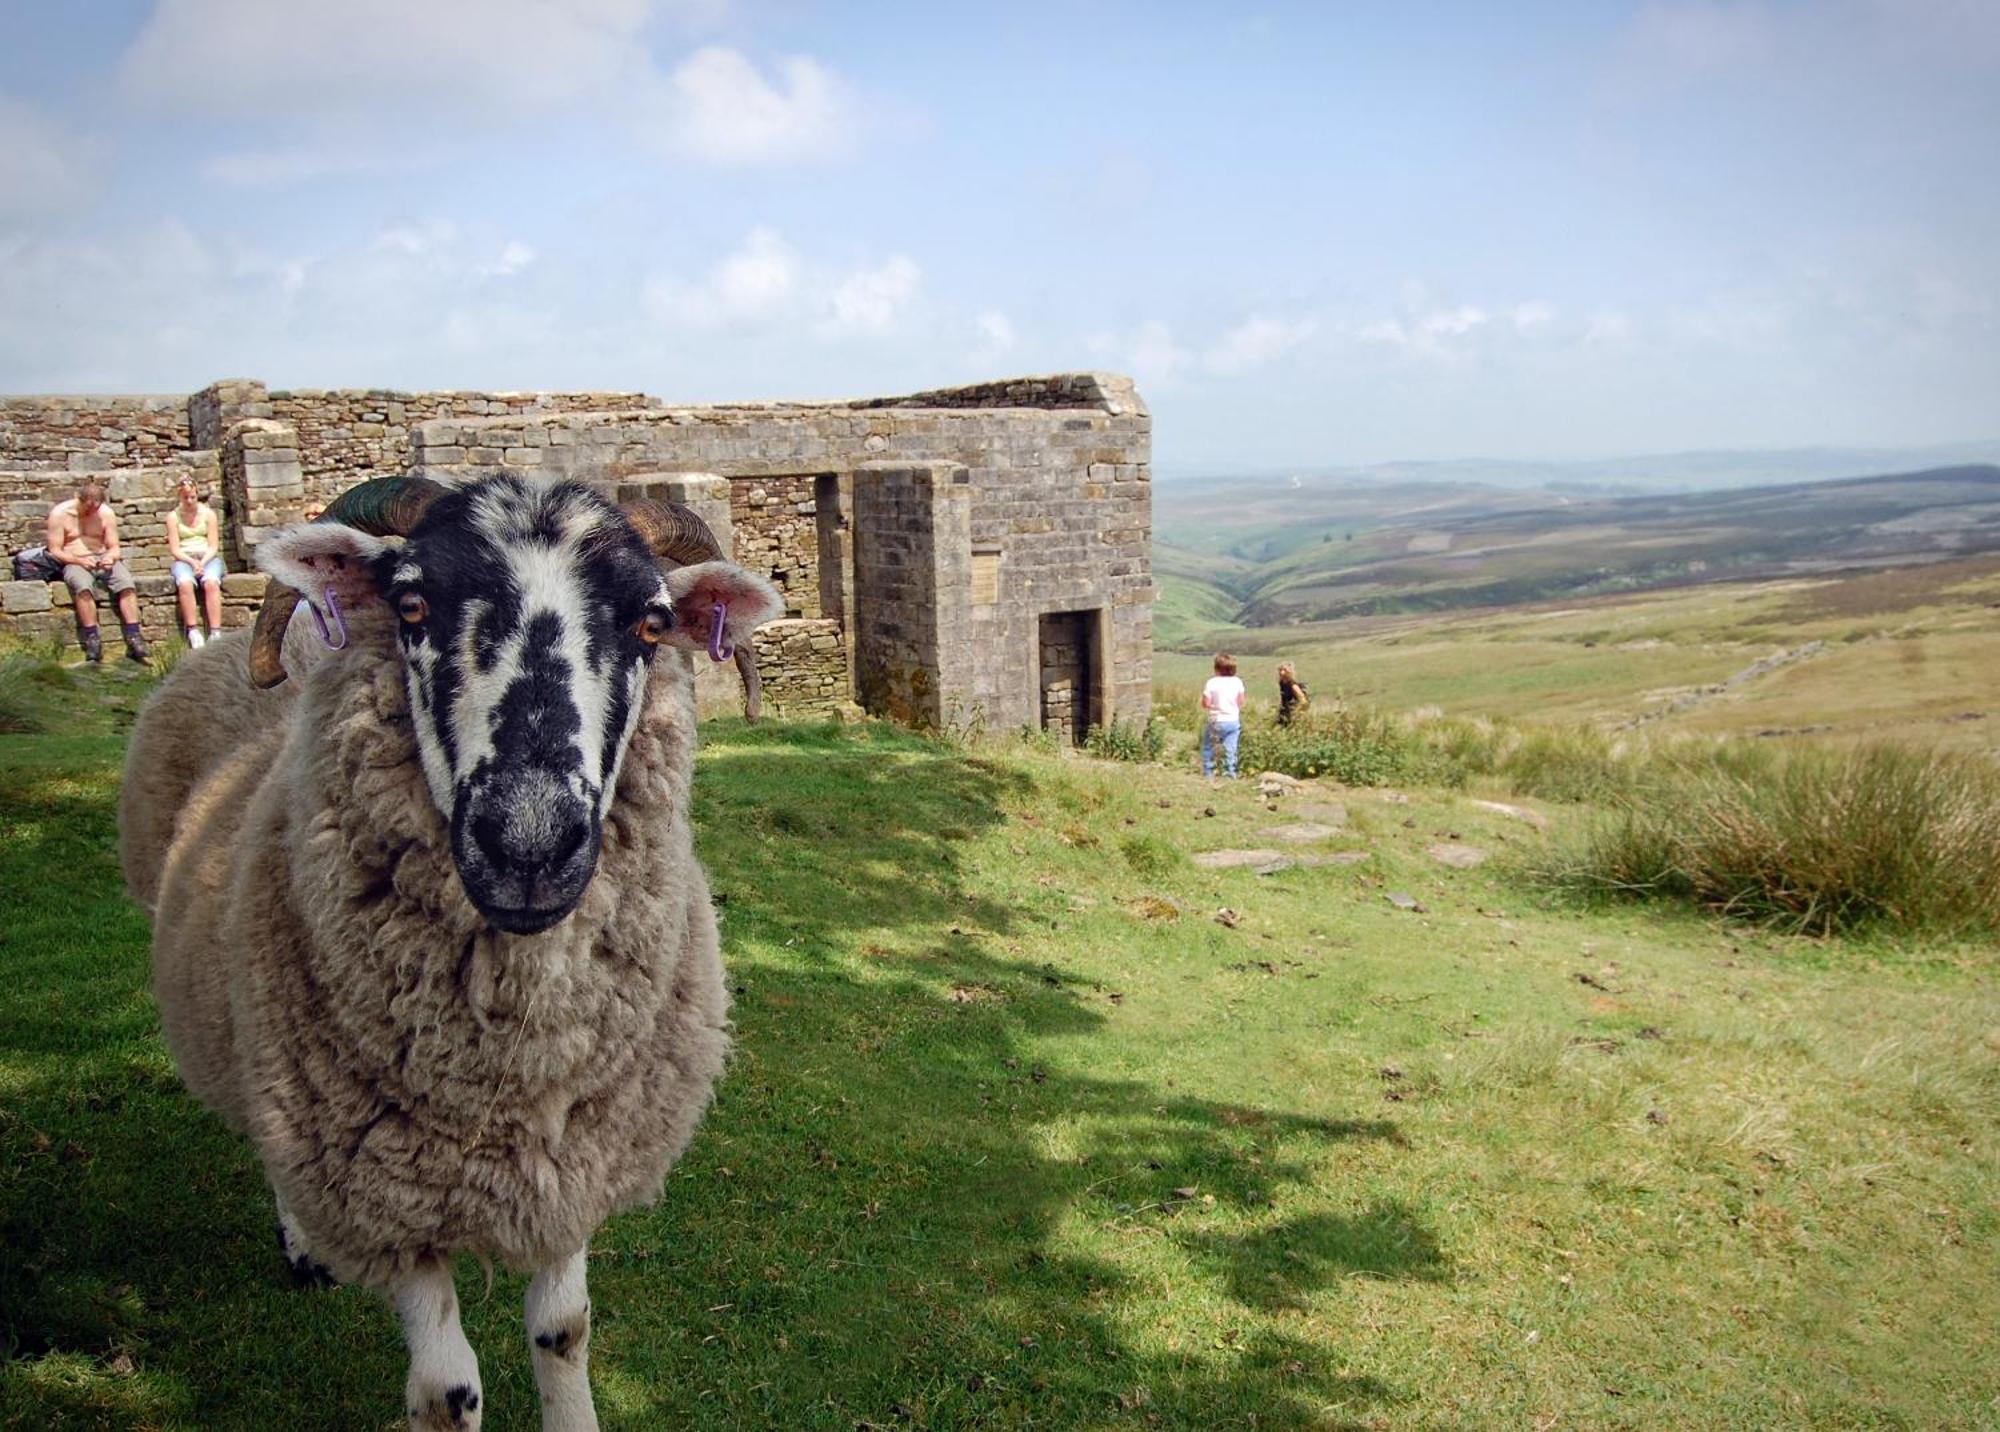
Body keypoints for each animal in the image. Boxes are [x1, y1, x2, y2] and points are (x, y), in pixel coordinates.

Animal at [113, 478, 776, 1432]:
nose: (529, 845)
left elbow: (565, 1330)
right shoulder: (392, 1205)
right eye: (412, 604)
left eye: (653, 622)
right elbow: (446, 1390)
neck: (506, 1074)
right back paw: (303, 1247)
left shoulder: (571, 1161)